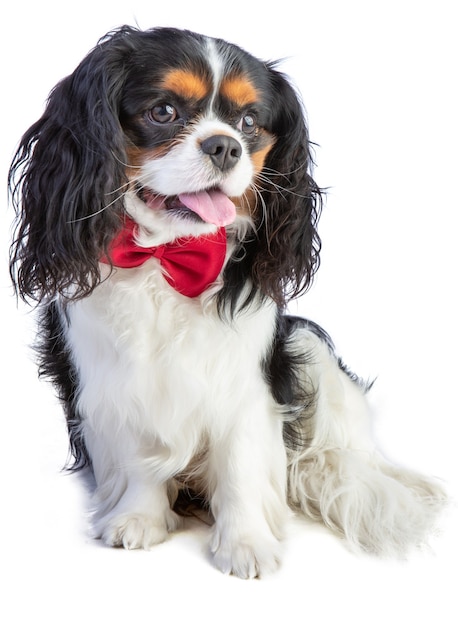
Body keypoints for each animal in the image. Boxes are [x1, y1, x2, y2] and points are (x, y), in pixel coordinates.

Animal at [8, 26, 448, 576]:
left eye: (249, 122)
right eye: (163, 112)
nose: (225, 146)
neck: (171, 256)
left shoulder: (246, 383)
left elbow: (240, 463)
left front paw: (245, 543)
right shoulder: (114, 377)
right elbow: (140, 450)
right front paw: (140, 518)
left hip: (308, 346)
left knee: (358, 456)